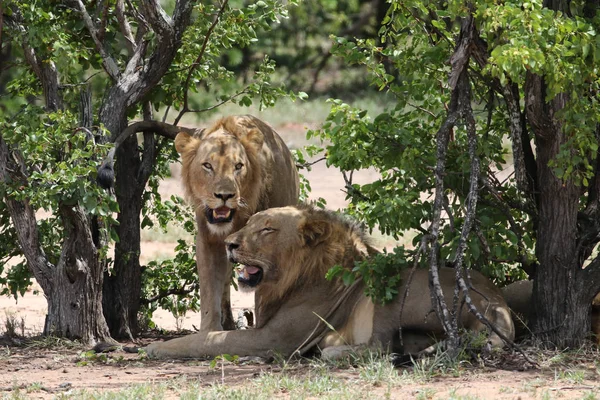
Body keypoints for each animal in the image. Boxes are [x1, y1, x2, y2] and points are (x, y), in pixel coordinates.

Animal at [146, 205, 516, 358]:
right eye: (249, 224)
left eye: (267, 229)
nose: (229, 244)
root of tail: (499, 304)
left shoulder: (273, 340)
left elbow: (209, 340)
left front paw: (156, 348)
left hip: (392, 292)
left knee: (379, 348)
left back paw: (333, 349)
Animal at [175, 114, 298, 330]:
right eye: (208, 166)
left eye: (238, 166)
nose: (225, 196)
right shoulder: (208, 241)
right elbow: (210, 291)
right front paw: (210, 330)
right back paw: (228, 323)